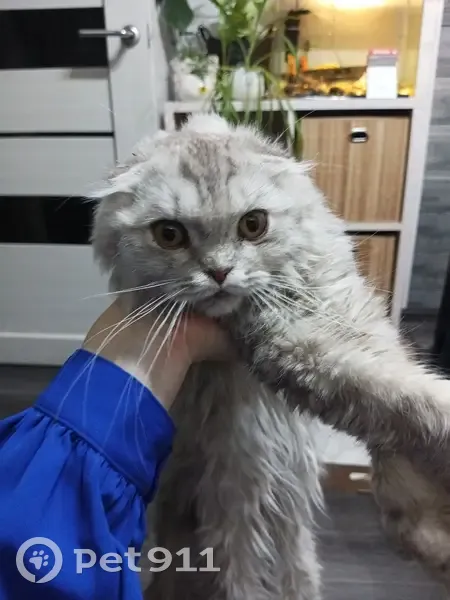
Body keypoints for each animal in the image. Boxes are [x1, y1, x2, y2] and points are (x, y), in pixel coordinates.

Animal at [91, 114, 450, 595]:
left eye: (253, 225)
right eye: (169, 234)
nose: (219, 272)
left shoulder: (349, 317)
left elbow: (400, 390)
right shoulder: (295, 349)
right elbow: (395, 398)